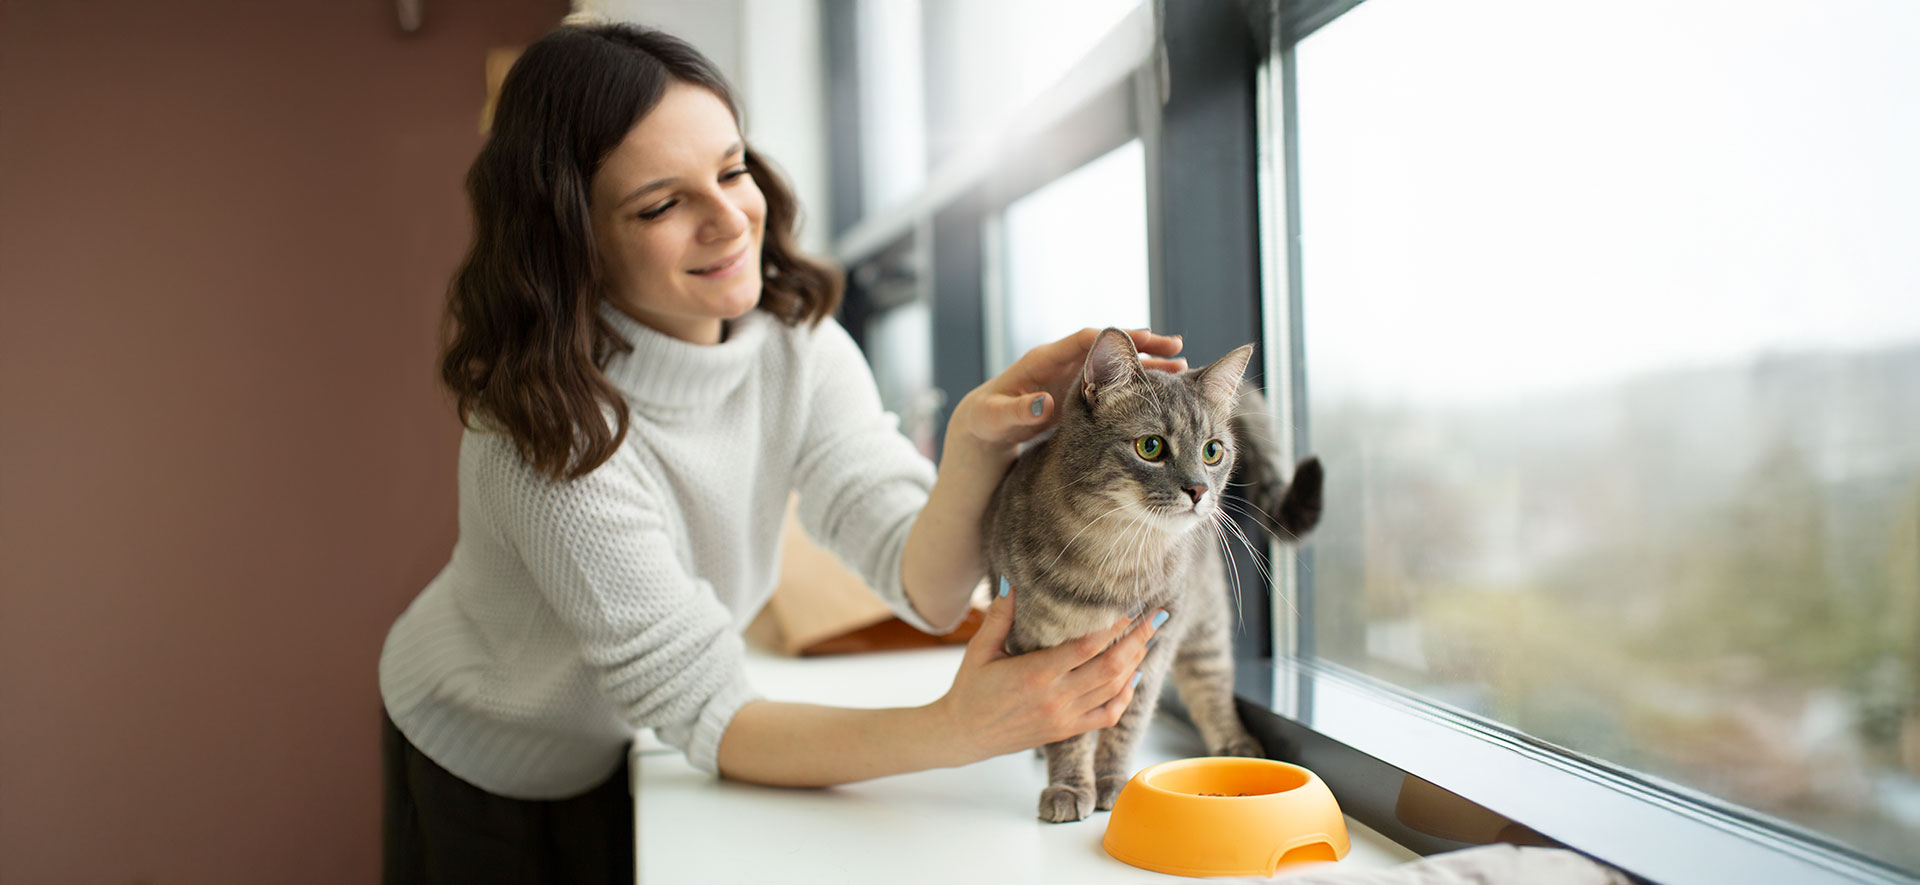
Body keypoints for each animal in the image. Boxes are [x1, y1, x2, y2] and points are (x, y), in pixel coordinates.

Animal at [990, 328, 1320, 825]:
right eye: (1151, 447)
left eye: (1212, 451)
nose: (1199, 489)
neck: (1116, 560)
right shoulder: (1046, 658)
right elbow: (1070, 732)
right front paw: (1070, 784)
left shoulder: (1155, 644)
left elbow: (1126, 723)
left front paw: (1111, 782)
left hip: (1204, 627)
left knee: (1212, 689)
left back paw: (1237, 746)